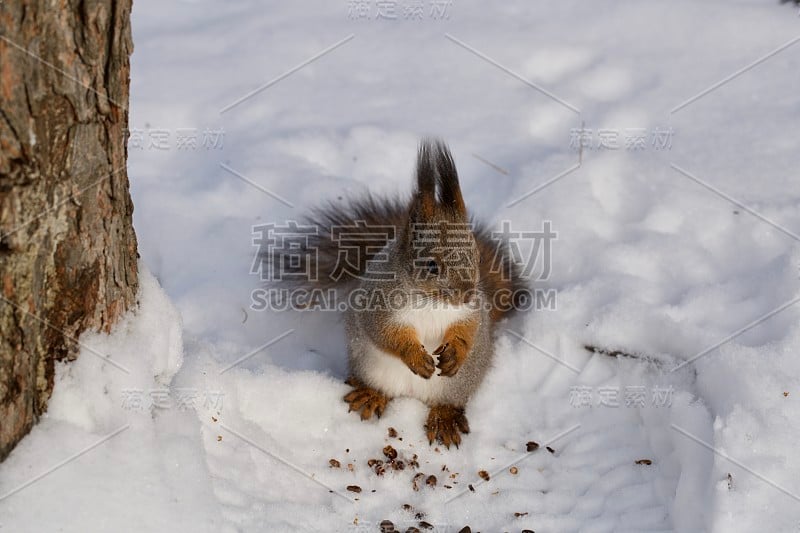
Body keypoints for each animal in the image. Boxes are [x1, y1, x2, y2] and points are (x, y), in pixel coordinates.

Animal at [270, 137, 532, 444]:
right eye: (431, 265)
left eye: (476, 256)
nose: (466, 293)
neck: (431, 301)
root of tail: (412, 395)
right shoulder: (380, 304)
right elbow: (387, 333)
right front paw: (415, 356)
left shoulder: (471, 311)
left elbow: (468, 329)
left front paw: (455, 352)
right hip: (370, 367)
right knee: (381, 387)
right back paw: (371, 395)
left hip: (459, 383)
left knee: (448, 400)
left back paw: (445, 416)